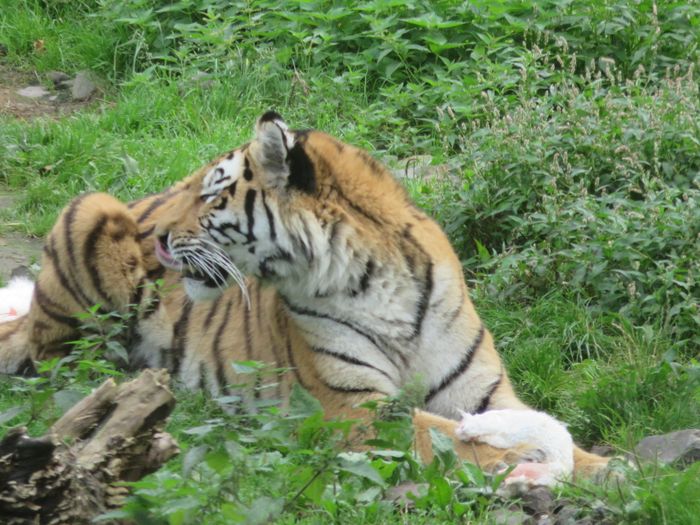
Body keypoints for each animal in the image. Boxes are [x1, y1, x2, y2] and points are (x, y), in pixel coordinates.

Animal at [0, 112, 608, 482]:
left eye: (213, 192)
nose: (157, 241)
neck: (378, 282)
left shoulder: (485, 394)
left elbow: (552, 433)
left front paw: (608, 472)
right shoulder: (359, 411)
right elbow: (451, 438)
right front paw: (525, 462)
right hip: (90, 208)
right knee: (59, 363)